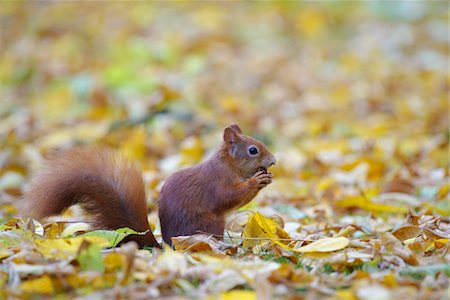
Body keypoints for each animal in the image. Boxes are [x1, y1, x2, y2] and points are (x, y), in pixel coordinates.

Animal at [23, 125, 274, 247]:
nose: (273, 161)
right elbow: (228, 197)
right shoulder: (217, 181)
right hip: (209, 224)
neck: (227, 164)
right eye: (253, 150)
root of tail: (167, 247)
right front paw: (256, 181)